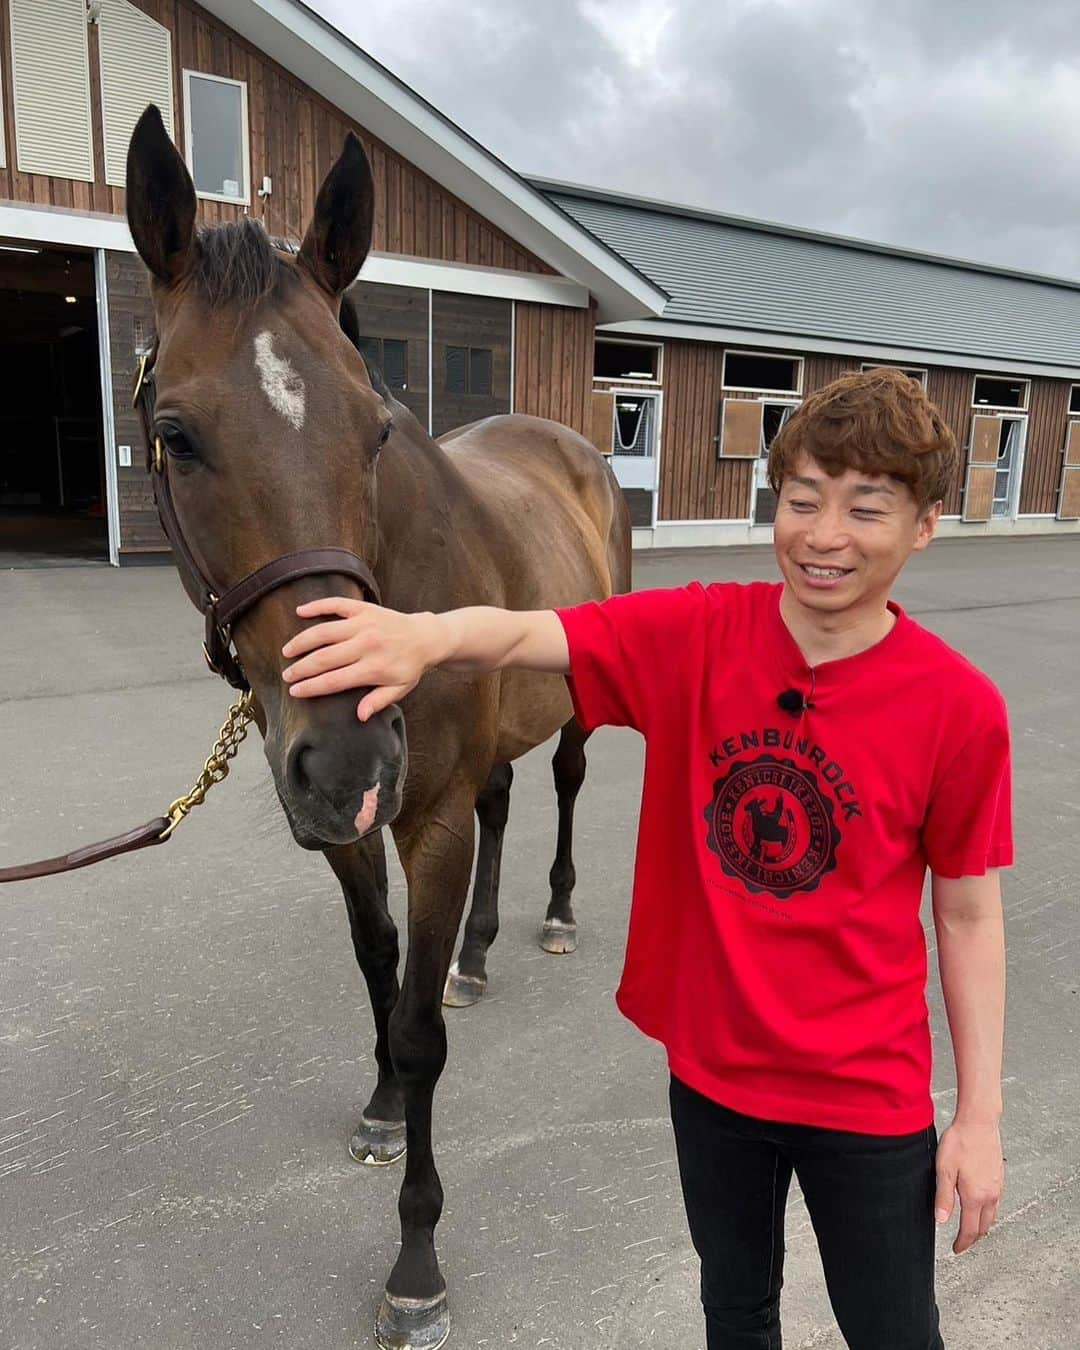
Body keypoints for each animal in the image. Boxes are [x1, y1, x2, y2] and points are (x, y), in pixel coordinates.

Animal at [126, 108, 631, 1350]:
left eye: (373, 431)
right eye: (177, 434)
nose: (351, 750)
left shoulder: (426, 822)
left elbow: (417, 1028)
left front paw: (416, 1261)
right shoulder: (352, 830)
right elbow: (380, 968)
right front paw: (384, 1102)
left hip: (570, 712)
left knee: (563, 787)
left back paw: (551, 917)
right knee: (506, 801)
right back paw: (482, 956)